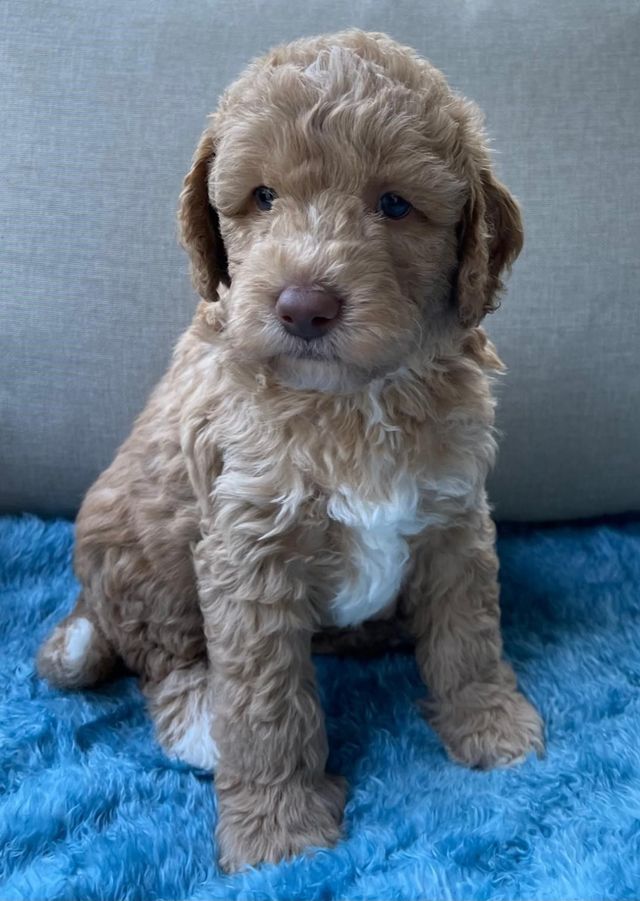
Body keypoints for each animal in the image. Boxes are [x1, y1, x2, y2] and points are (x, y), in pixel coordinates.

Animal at [37, 31, 544, 868]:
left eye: (394, 204)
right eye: (263, 197)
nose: (304, 306)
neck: (355, 400)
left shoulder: (453, 516)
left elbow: (469, 634)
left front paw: (491, 723)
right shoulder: (246, 551)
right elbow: (266, 703)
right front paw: (278, 829)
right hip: (138, 541)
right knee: (161, 655)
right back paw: (201, 721)